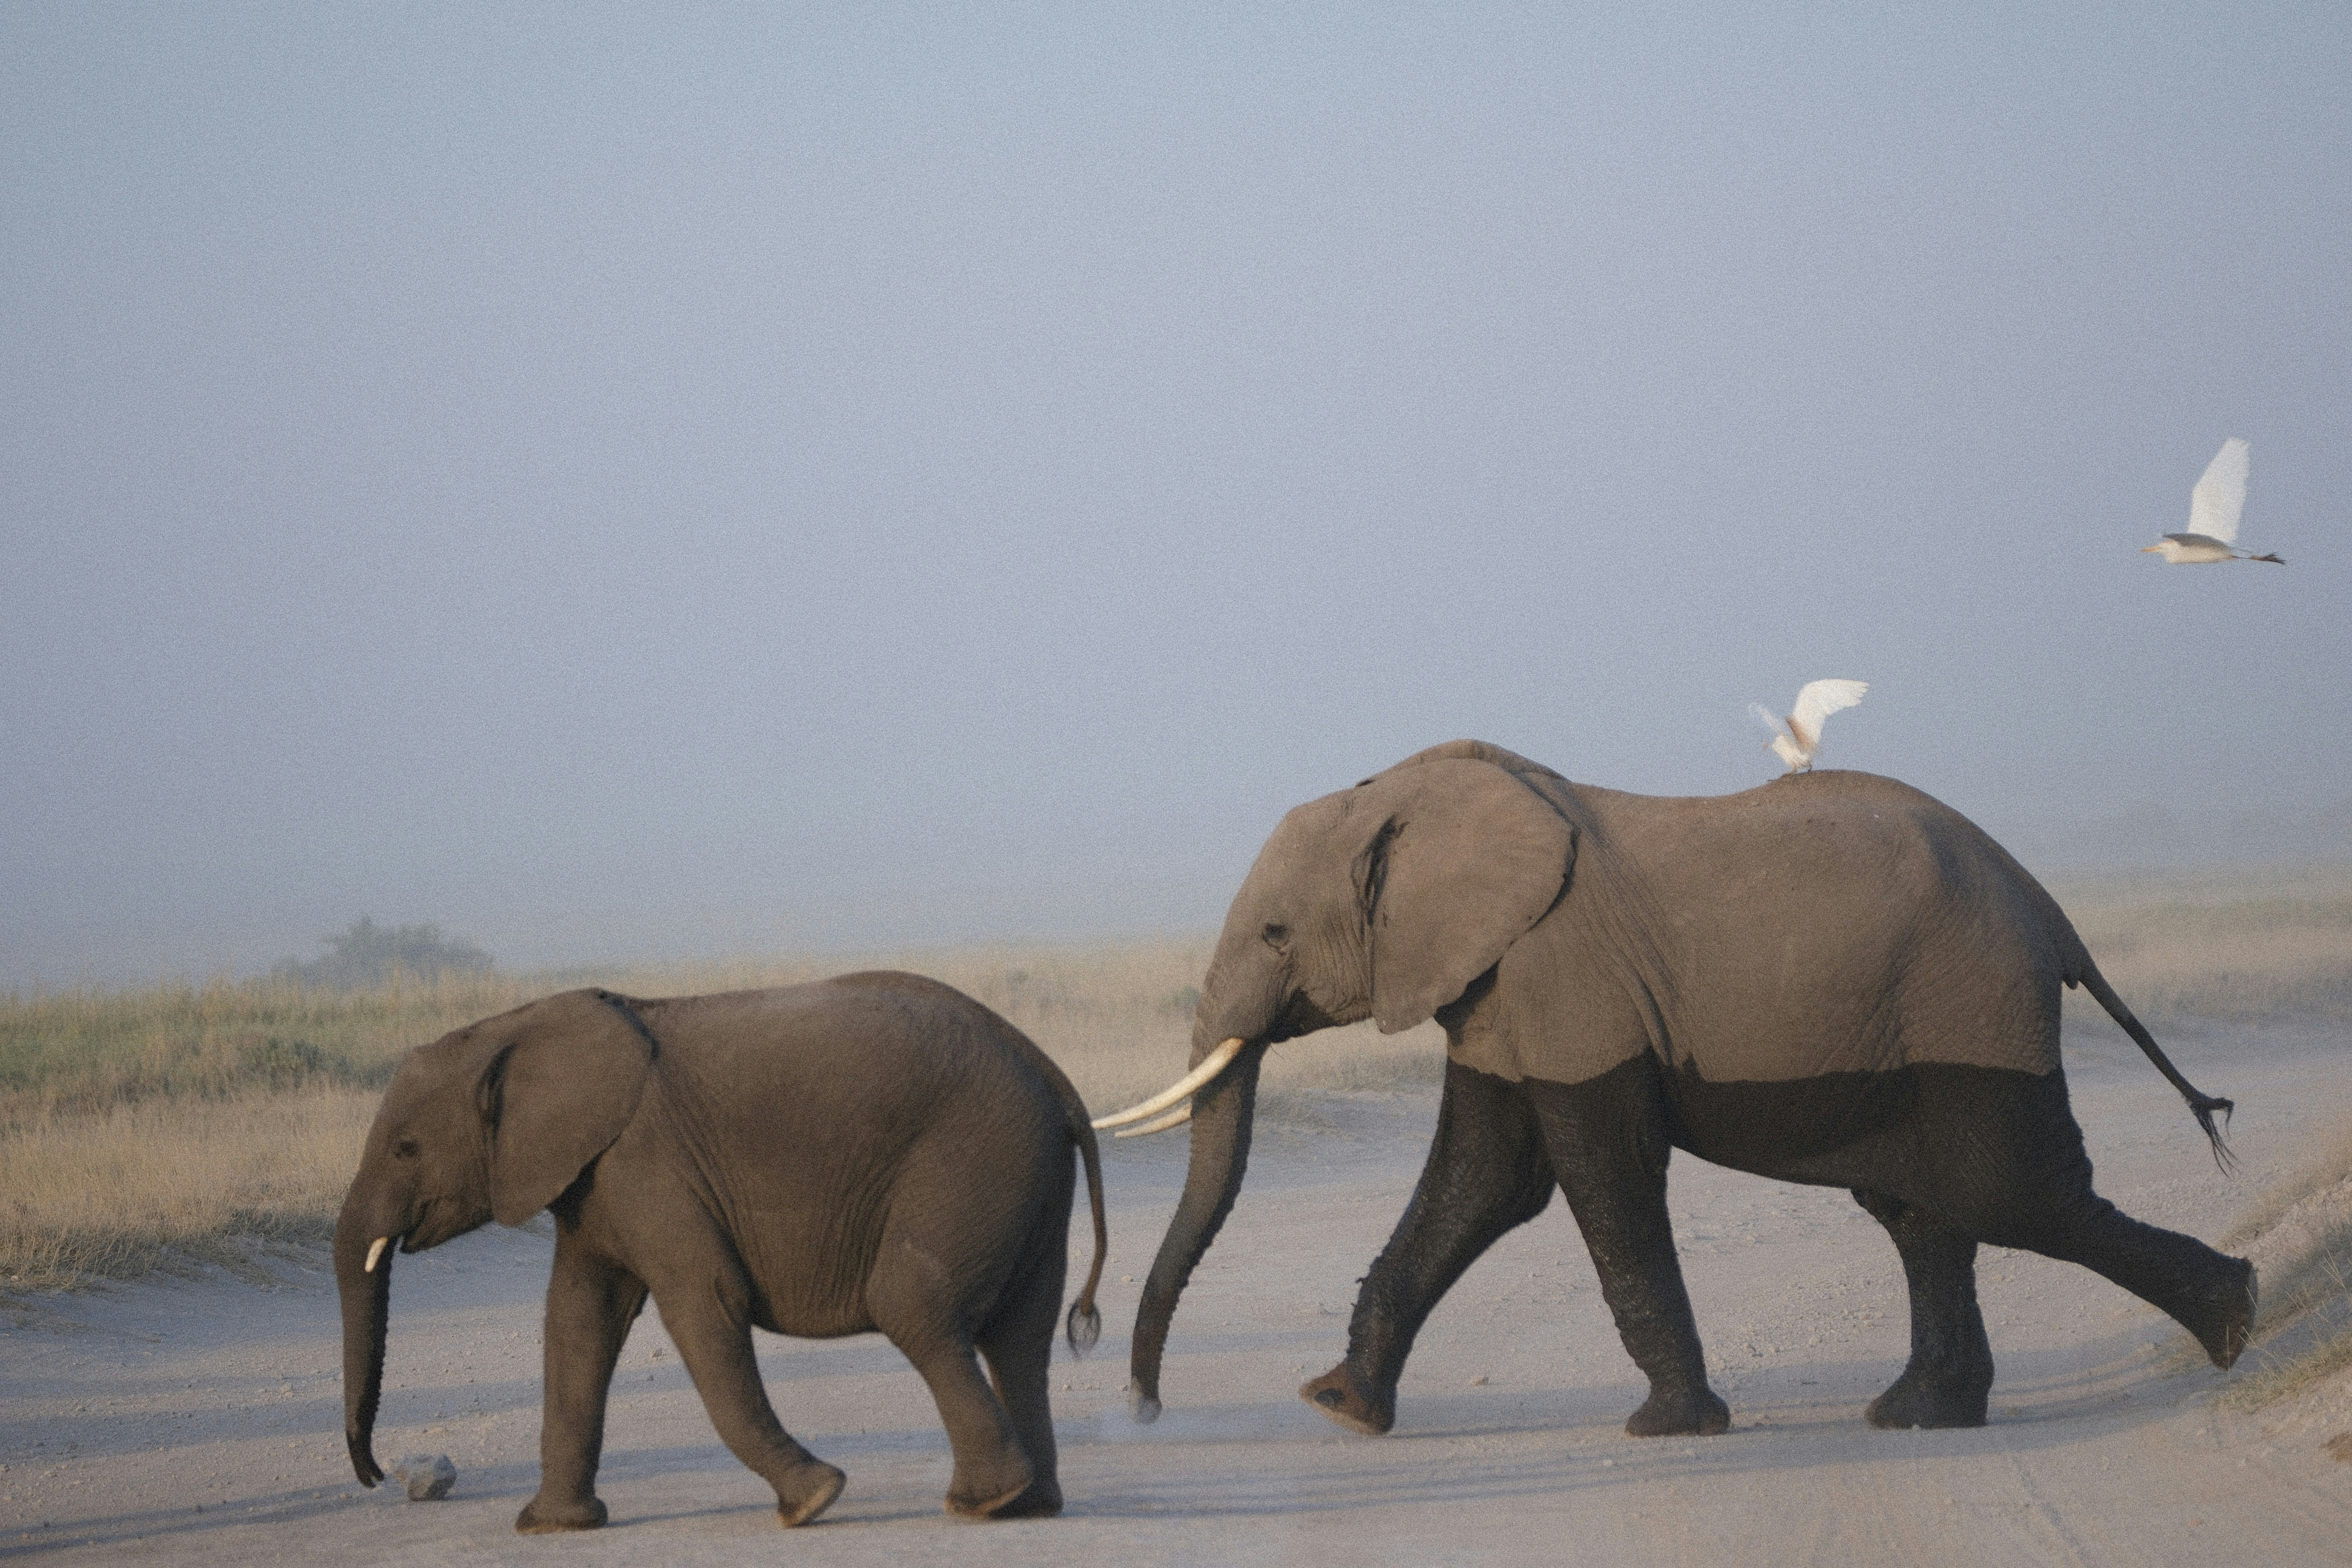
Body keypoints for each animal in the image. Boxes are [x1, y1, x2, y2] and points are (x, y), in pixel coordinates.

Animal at [336, 972, 1106, 1531]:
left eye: (406, 1148)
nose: (374, 1476)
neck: (512, 1027)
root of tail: (1051, 1073)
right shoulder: (592, 1181)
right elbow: (579, 1323)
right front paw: (550, 1528)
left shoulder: (647, 1163)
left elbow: (703, 1303)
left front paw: (812, 1503)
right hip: (1024, 1175)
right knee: (1019, 1337)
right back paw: (1029, 1505)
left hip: (972, 1160)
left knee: (913, 1305)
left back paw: (982, 1503)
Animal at [1102, 739, 2253, 1438]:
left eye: (1273, 932)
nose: (1145, 1404)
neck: (1408, 790)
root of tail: (2048, 908)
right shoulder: (1496, 985)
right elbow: (1485, 1177)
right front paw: (1339, 1408)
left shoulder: (1561, 975)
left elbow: (1595, 1169)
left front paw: (1669, 1428)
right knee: (1923, 1209)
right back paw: (1916, 1414)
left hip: (1970, 999)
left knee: (2007, 1191)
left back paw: (2235, 1324)